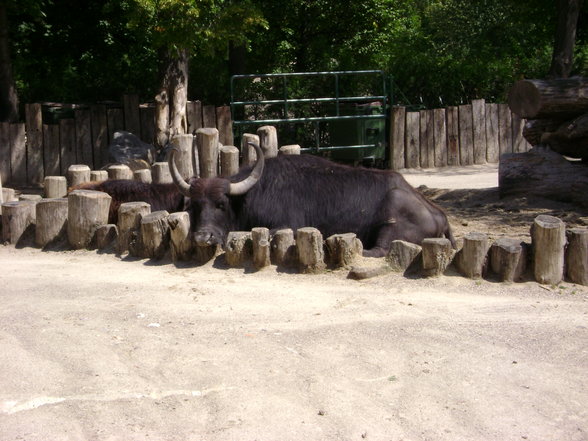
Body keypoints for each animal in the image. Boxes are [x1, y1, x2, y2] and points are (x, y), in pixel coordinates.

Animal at [170, 141, 454, 258]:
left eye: (221, 204)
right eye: (195, 206)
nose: (203, 237)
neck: (254, 194)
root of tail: (439, 214)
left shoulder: (287, 226)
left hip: (392, 215)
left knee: (379, 250)